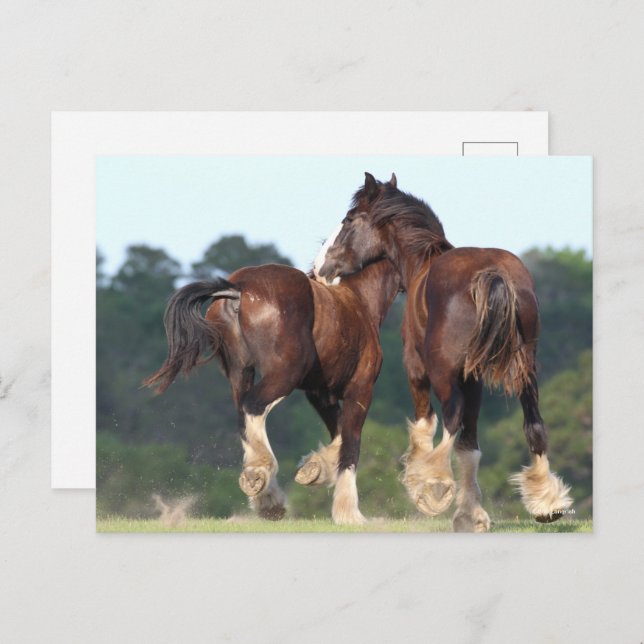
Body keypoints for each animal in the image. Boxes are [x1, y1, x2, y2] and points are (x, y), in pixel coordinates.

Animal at [144, 260, 400, 524]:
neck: (358, 302)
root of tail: (238, 289)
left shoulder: (320, 392)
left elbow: (339, 434)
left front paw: (314, 469)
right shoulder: (359, 390)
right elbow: (351, 442)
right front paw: (349, 513)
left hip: (241, 372)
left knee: (243, 414)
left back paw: (267, 498)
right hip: (285, 374)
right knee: (253, 406)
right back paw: (260, 476)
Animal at [314, 172, 572, 532]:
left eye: (350, 219)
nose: (319, 267)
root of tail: (493, 276)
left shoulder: (416, 370)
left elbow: (427, 425)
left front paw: (427, 482)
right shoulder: (474, 379)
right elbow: (470, 446)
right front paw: (471, 513)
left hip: (443, 373)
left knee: (451, 417)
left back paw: (433, 486)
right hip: (526, 372)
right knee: (533, 426)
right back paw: (547, 503)